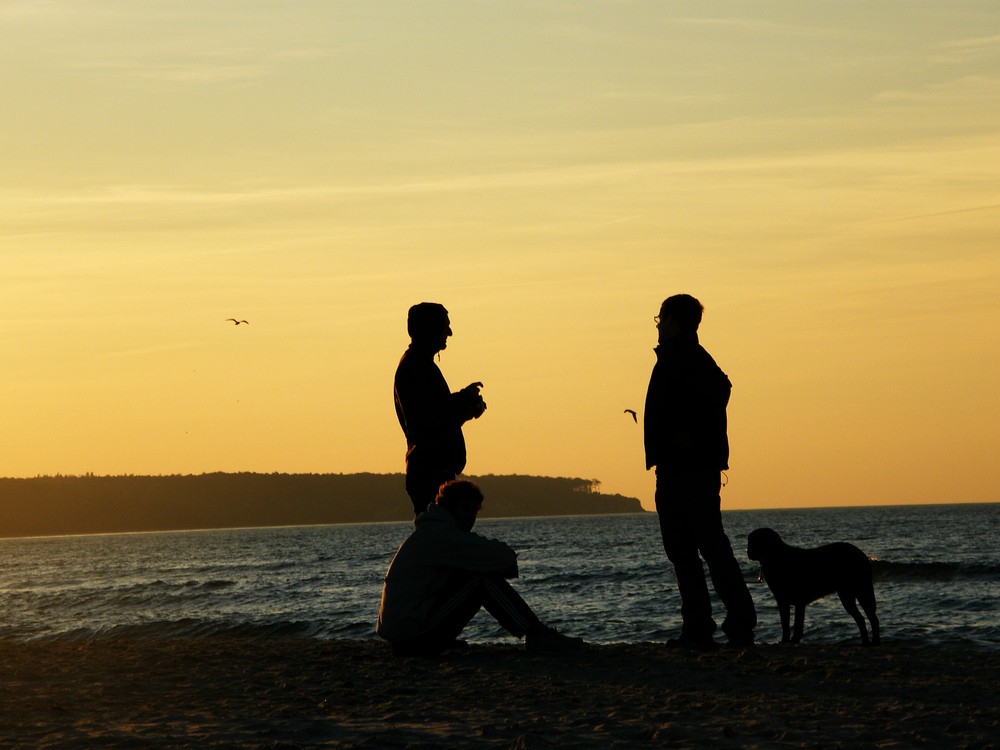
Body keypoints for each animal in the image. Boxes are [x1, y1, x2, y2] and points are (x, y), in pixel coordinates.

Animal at [748, 528, 880, 648]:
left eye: (754, 541)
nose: (747, 550)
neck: (775, 557)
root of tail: (862, 555)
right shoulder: (782, 601)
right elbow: (785, 624)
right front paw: (785, 641)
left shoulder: (798, 601)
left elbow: (797, 624)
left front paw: (794, 640)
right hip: (849, 595)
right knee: (862, 619)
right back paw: (866, 642)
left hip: (861, 592)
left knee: (872, 619)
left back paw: (874, 642)